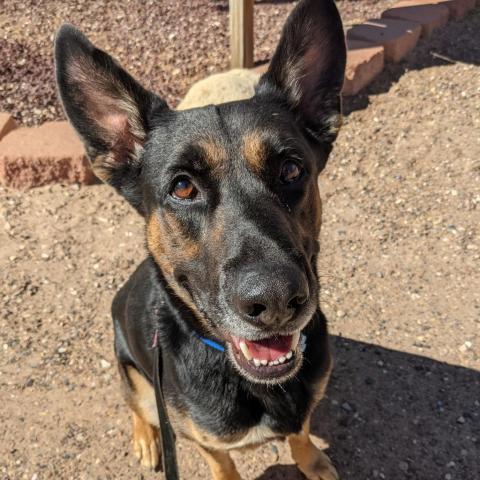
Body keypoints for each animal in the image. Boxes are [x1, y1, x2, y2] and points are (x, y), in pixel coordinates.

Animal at [54, 1, 346, 478]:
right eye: (183, 187)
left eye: (290, 169)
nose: (276, 302)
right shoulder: (204, 440)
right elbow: (223, 464)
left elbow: (301, 431)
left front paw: (312, 460)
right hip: (135, 375)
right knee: (136, 406)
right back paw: (145, 438)